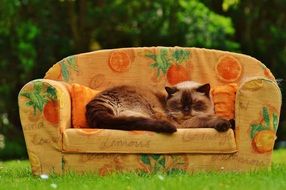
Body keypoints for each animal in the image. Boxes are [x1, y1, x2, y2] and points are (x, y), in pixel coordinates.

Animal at [85, 81, 232, 133]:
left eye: (194, 103)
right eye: (179, 104)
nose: (186, 110)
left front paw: (231, 121)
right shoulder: (186, 123)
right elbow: (209, 119)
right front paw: (225, 124)